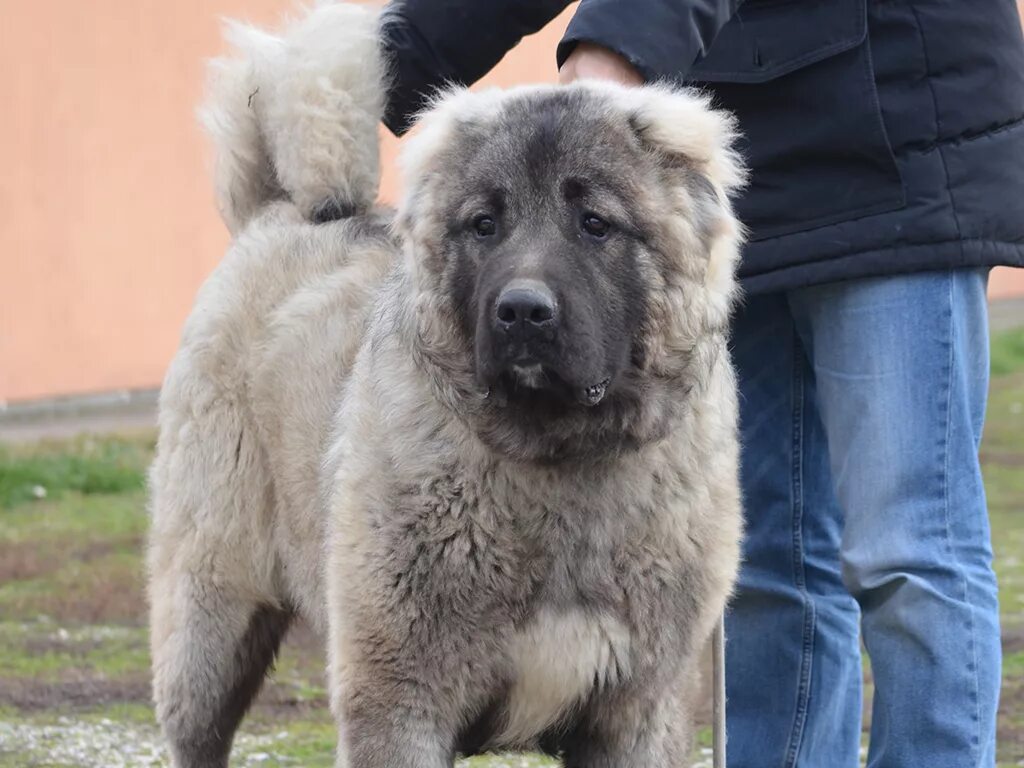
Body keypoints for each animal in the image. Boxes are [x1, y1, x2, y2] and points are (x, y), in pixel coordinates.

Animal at [146, 3, 745, 765]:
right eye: (485, 224)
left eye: (595, 223)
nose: (522, 312)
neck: (559, 463)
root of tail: (285, 211)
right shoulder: (399, 701)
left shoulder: (635, 712)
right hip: (211, 628)